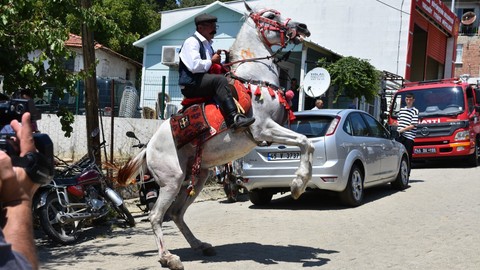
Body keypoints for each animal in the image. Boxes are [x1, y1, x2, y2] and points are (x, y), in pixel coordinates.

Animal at [117, 2, 316, 270]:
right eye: (270, 16)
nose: (302, 27)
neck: (253, 78)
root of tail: (148, 148)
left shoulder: (276, 130)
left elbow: (307, 143)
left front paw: (299, 182)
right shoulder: (263, 128)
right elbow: (305, 142)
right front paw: (297, 185)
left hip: (198, 177)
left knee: (177, 213)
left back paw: (200, 245)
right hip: (171, 181)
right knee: (156, 215)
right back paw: (168, 258)